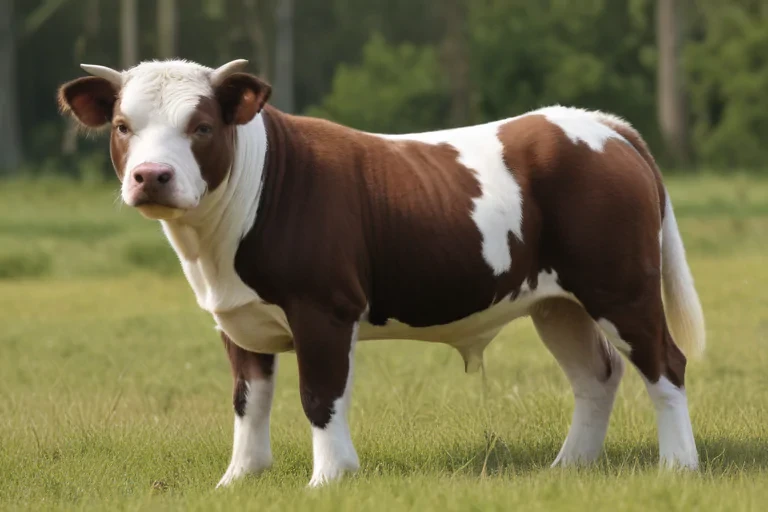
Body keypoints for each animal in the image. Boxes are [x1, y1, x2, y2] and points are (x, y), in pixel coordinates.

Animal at [58, 59, 706, 488]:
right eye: (123, 127)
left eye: (202, 126)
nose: (151, 176)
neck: (214, 251)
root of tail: (594, 123)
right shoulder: (237, 317)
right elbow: (249, 399)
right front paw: (239, 479)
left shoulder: (324, 307)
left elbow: (319, 395)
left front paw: (329, 478)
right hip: (558, 303)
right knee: (597, 374)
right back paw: (568, 466)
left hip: (622, 286)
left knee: (664, 364)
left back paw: (677, 466)